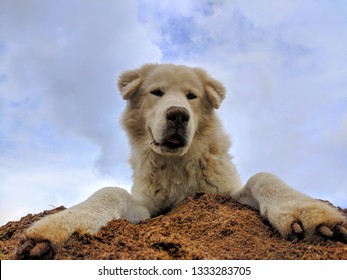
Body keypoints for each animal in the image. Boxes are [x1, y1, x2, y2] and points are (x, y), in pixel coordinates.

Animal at [17, 63, 347, 258]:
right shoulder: (147, 206)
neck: (177, 165)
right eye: (157, 92)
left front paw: (307, 212)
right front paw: (63, 224)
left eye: (191, 96)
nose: (177, 115)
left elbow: (263, 177)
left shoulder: (227, 193)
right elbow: (111, 191)